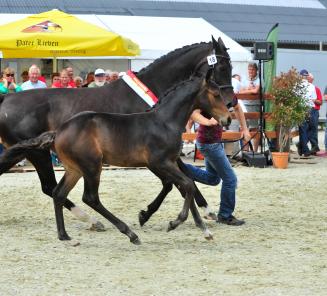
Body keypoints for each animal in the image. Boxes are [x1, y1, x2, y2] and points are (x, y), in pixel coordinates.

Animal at [0, 36, 233, 229]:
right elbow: (174, 182)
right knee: (50, 186)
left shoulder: (162, 154)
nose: (230, 103)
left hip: (23, 150)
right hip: (38, 153)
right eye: (221, 66)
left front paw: (204, 211)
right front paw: (148, 214)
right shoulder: (153, 155)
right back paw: (92, 220)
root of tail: (6, 98)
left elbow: (184, 178)